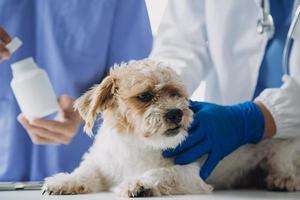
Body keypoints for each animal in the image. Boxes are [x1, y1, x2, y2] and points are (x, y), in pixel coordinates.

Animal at [42, 59, 300, 197]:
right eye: (144, 96)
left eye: (176, 94)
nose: (176, 113)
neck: (138, 145)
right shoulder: (102, 164)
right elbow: (85, 172)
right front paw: (62, 182)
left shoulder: (189, 174)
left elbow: (161, 173)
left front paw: (140, 184)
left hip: (283, 152)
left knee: (287, 168)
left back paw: (284, 179)